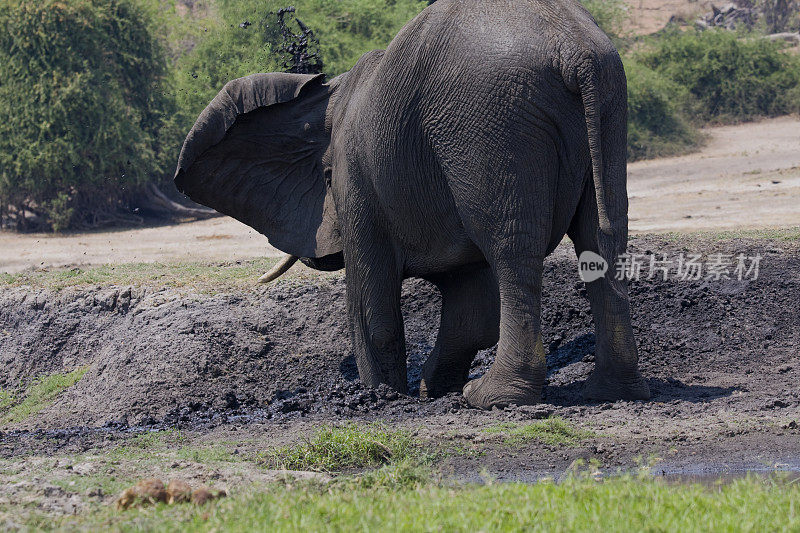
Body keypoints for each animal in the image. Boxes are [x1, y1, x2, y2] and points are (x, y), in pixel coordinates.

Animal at [173, 0, 648, 410]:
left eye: (326, 177)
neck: (330, 96)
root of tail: (573, 49)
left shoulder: (358, 179)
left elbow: (372, 309)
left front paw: (385, 395)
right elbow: (470, 304)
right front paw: (428, 389)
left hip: (491, 123)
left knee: (513, 249)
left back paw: (491, 398)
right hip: (603, 104)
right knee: (601, 238)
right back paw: (611, 392)